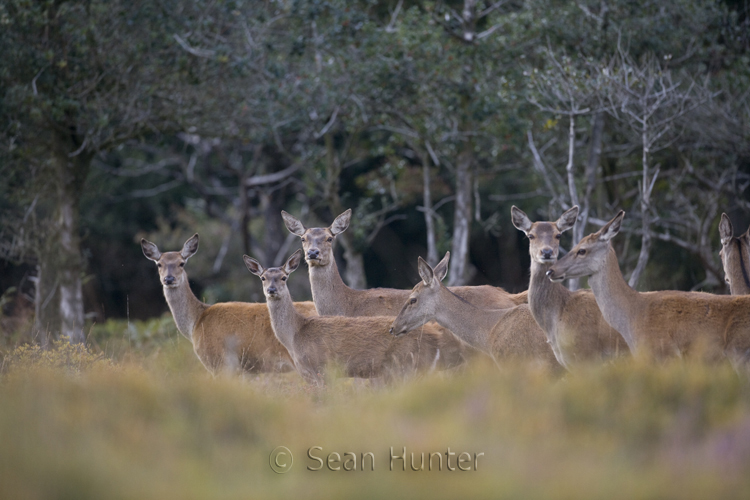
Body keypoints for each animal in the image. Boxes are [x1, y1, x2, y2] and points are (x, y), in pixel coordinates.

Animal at [244, 249, 462, 385]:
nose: (271, 290)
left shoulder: (320, 368)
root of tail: (433, 337)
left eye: (283, 277)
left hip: (407, 365)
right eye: (263, 278)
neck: (295, 335)